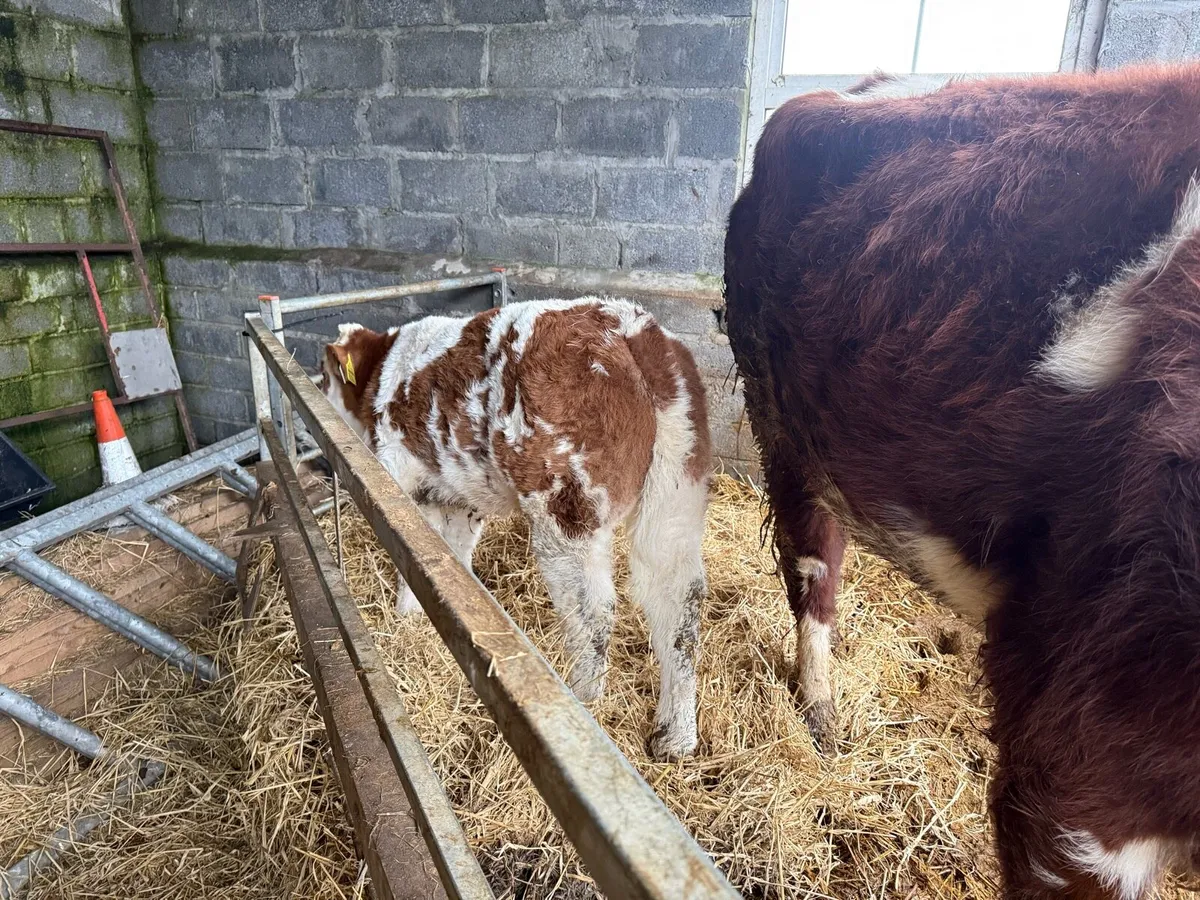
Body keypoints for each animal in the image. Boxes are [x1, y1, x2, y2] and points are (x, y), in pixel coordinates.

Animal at [318, 297, 711, 760]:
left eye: (324, 372)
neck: (388, 369)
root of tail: (630, 327)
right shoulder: (460, 498)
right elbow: (450, 554)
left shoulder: (399, 476)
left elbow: (407, 546)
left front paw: (407, 613)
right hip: (676, 498)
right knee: (679, 605)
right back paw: (675, 737)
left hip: (567, 511)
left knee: (593, 613)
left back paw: (584, 700)